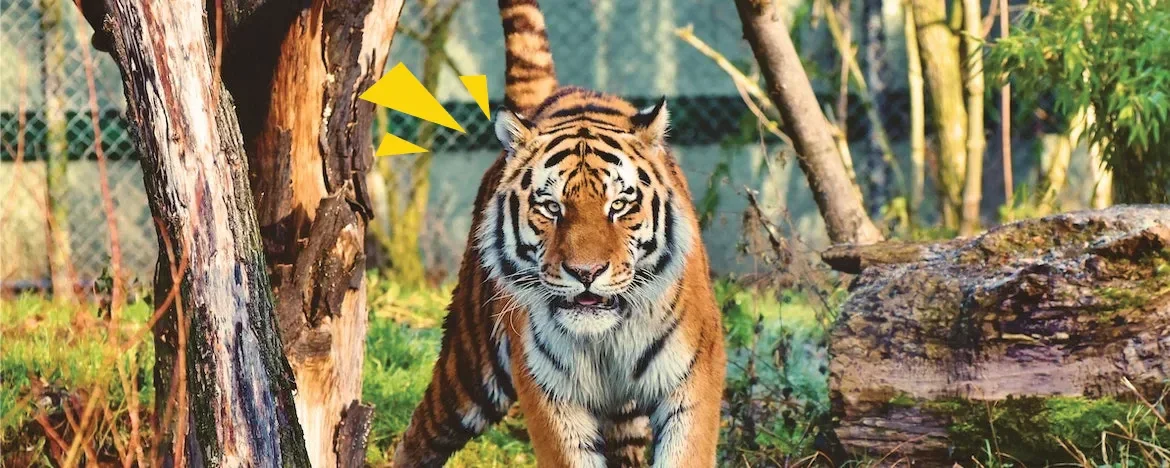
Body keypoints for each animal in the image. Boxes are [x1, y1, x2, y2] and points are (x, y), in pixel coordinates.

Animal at [390, 0, 726, 467]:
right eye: (552, 207)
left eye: (618, 205)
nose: (586, 273)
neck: (606, 340)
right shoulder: (549, 391)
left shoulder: (692, 378)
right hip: (470, 367)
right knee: (419, 435)